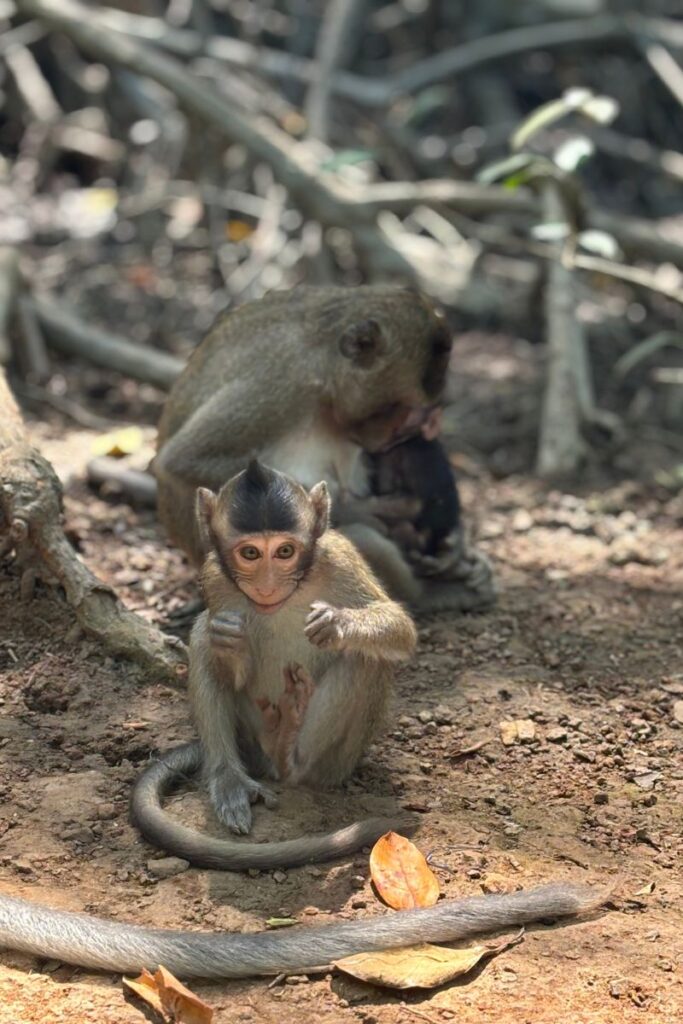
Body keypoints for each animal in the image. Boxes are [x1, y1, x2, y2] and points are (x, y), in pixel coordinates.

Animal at [130, 459, 417, 868]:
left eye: (285, 551)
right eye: (250, 554)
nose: (267, 586)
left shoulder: (340, 558)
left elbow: (400, 628)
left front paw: (338, 624)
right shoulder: (213, 578)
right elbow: (217, 641)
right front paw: (231, 645)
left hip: (341, 761)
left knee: (363, 658)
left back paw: (291, 755)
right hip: (248, 732)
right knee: (201, 634)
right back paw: (234, 774)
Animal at [154, 285, 495, 614]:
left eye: (413, 421)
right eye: (397, 412)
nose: (387, 438)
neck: (325, 369)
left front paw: (456, 545)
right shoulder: (281, 382)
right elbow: (184, 461)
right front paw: (363, 512)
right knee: (358, 537)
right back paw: (427, 594)